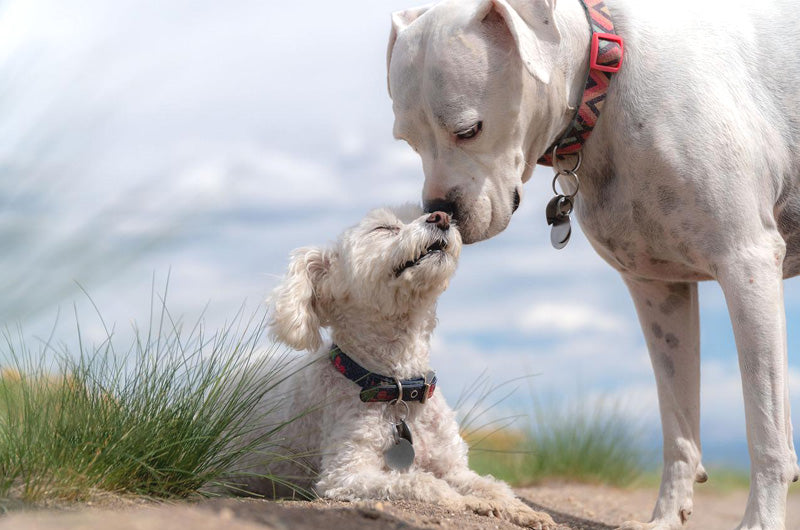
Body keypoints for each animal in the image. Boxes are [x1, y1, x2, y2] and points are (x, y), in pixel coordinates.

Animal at [244, 204, 556, 524]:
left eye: (422, 212)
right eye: (383, 228)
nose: (442, 216)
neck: (399, 386)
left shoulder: (454, 467)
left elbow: (493, 486)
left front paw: (523, 510)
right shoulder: (345, 475)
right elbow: (424, 483)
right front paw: (468, 502)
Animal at [386, 1, 800, 528]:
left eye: (468, 130)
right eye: (407, 141)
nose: (439, 211)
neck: (605, 80)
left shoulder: (747, 264)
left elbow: (766, 427)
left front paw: (761, 520)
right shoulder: (657, 290)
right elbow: (678, 425)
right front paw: (665, 517)